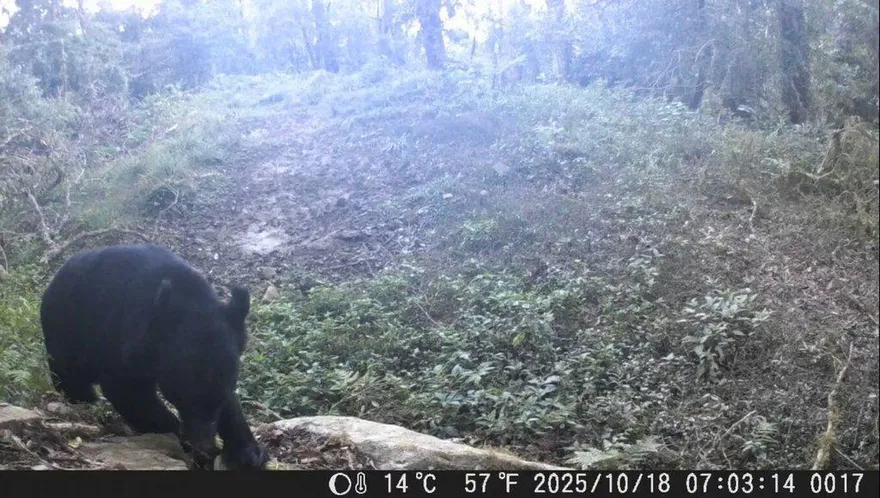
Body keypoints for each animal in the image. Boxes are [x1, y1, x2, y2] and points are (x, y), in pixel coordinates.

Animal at [39, 243, 269, 470]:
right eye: (184, 398)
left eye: (219, 400)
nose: (204, 446)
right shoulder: (123, 337)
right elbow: (128, 391)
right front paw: (182, 439)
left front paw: (249, 452)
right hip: (66, 330)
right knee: (70, 375)